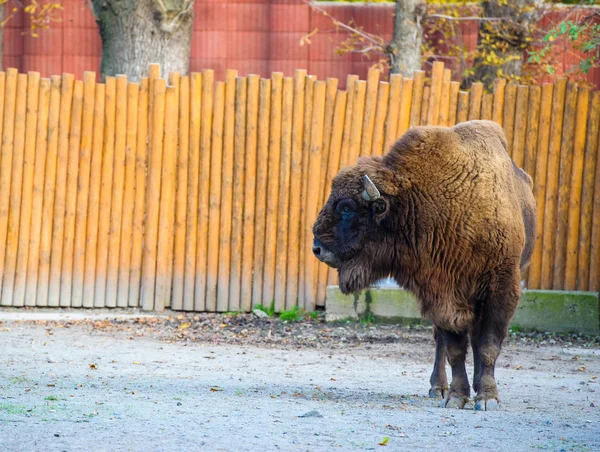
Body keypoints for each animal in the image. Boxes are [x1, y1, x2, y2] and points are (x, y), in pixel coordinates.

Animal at [312, 119, 536, 410]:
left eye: (347, 208)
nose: (317, 248)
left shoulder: (501, 289)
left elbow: (487, 345)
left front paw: (487, 398)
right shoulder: (442, 294)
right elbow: (454, 349)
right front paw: (456, 397)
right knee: (441, 340)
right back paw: (438, 388)